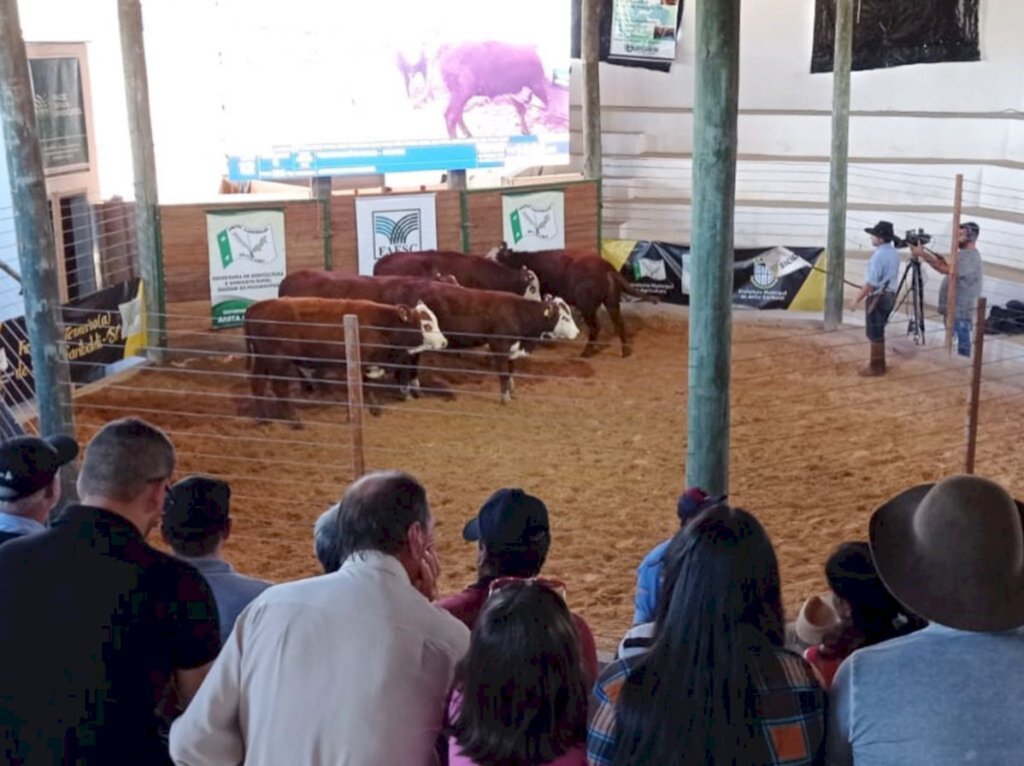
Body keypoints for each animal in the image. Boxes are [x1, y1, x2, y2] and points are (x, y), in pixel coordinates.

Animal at [243, 296, 448, 421]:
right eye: (427, 325)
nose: (444, 342)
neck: (381, 324)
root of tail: (255, 307)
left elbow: (367, 385)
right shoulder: (362, 361)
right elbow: (363, 386)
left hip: (262, 358)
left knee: (257, 382)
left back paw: (264, 419)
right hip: (278, 359)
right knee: (279, 387)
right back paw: (294, 420)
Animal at [276, 268, 577, 401]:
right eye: (564, 316)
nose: (576, 332)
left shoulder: (512, 345)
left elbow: (512, 371)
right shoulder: (499, 344)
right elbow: (503, 372)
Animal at [491, 245, 659, 358]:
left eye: (497, 260)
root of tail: (607, 269)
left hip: (588, 306)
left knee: (596, 327)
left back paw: (586, 352)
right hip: (612, 302)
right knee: (619, 323)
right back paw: (625, 351)